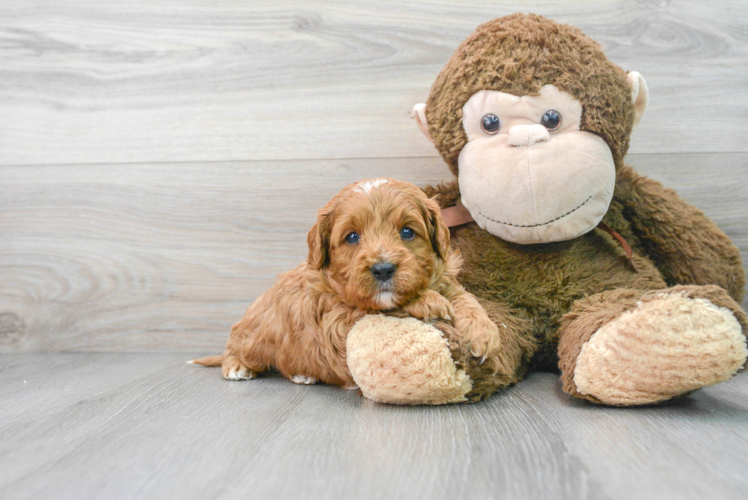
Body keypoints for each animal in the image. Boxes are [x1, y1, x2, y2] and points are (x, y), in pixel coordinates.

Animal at [190, 178, 500, 388]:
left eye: (407, 232)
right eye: (352, 237)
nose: (383, 269)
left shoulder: (447, 280)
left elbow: (466, 299)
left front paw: (484, 334)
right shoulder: (338, 322)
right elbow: (379, 307)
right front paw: (427, 301)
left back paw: (303, 374)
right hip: (254, 333)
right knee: (235, 345)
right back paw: (236, 366)